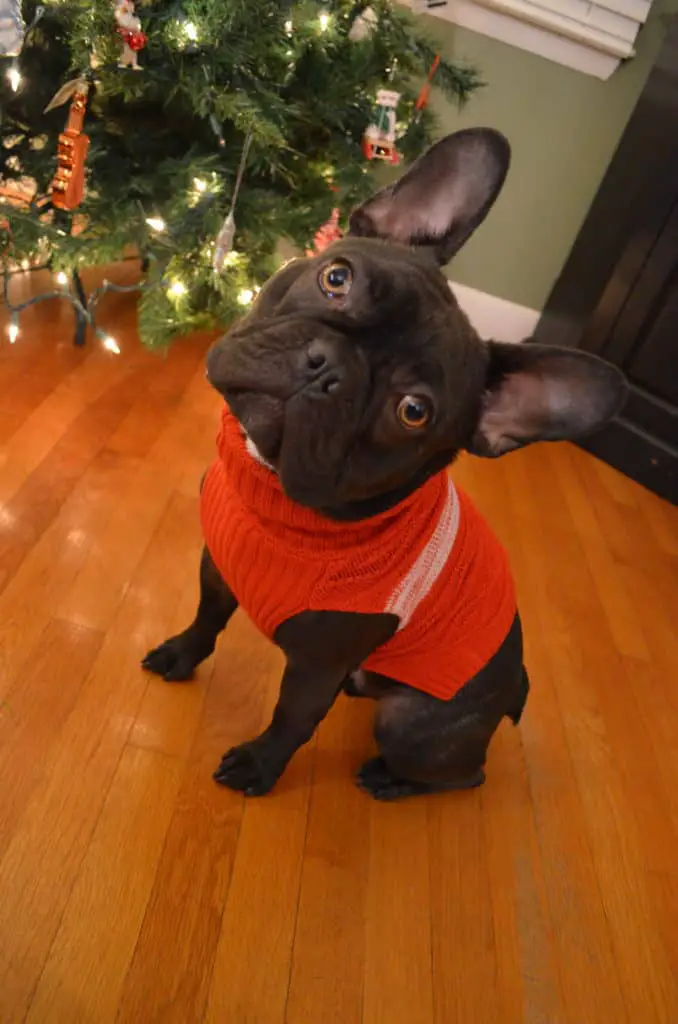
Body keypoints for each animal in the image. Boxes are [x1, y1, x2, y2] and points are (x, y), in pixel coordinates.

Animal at [140, 128, 630, 798]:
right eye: (335, 277)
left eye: (413, 411)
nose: (327, 365)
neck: (282, 501)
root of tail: (516, 687)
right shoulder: (218, 568)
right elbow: (206, 620)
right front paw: (180, 655)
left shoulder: (318, 662)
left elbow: (292, 718)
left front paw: (259, 767)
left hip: (407, 723)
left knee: (463, 773)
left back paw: (390, 780)